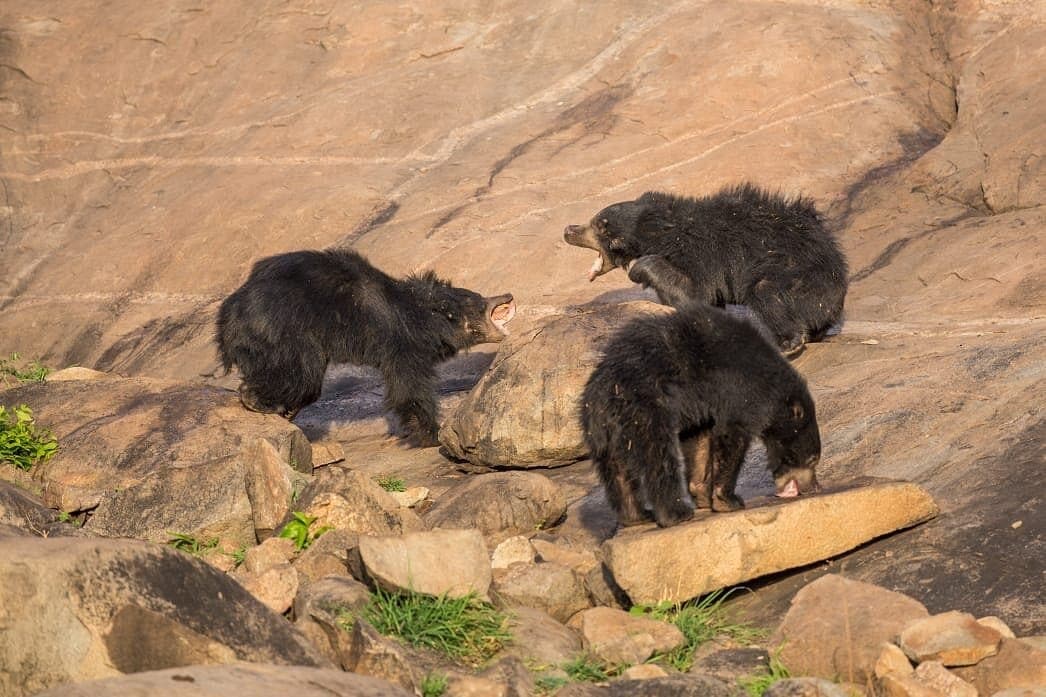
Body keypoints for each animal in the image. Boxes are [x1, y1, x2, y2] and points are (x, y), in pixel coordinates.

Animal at [215, 248, 515, 446]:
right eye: (479, 302)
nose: (508, 294)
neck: (420, 314)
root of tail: (227, 317)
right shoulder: (400, 342)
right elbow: (410, 387)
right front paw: (431, 434)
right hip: (283, 333)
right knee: (302, 376)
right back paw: (259, 400)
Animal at [564, 183, 848, 355]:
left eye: (598, 226)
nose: (568, 230)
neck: (659, 228)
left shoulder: (700, 252)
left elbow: (696, 292)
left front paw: (638, 269)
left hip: (799, 279)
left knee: (765, 291)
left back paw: (788, 344)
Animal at [579, 303, 821, 529]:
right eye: (812, 459)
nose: (814, 487)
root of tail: (606, 390)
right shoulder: (742, 388)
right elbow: (732, 433)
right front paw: (728, 500)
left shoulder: (701, 405)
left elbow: (699, 439)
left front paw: (703, 495)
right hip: (647, 411)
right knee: (659, 457)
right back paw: (676, 513)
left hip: (602, 430)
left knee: (616, 470)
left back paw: (636, 516)